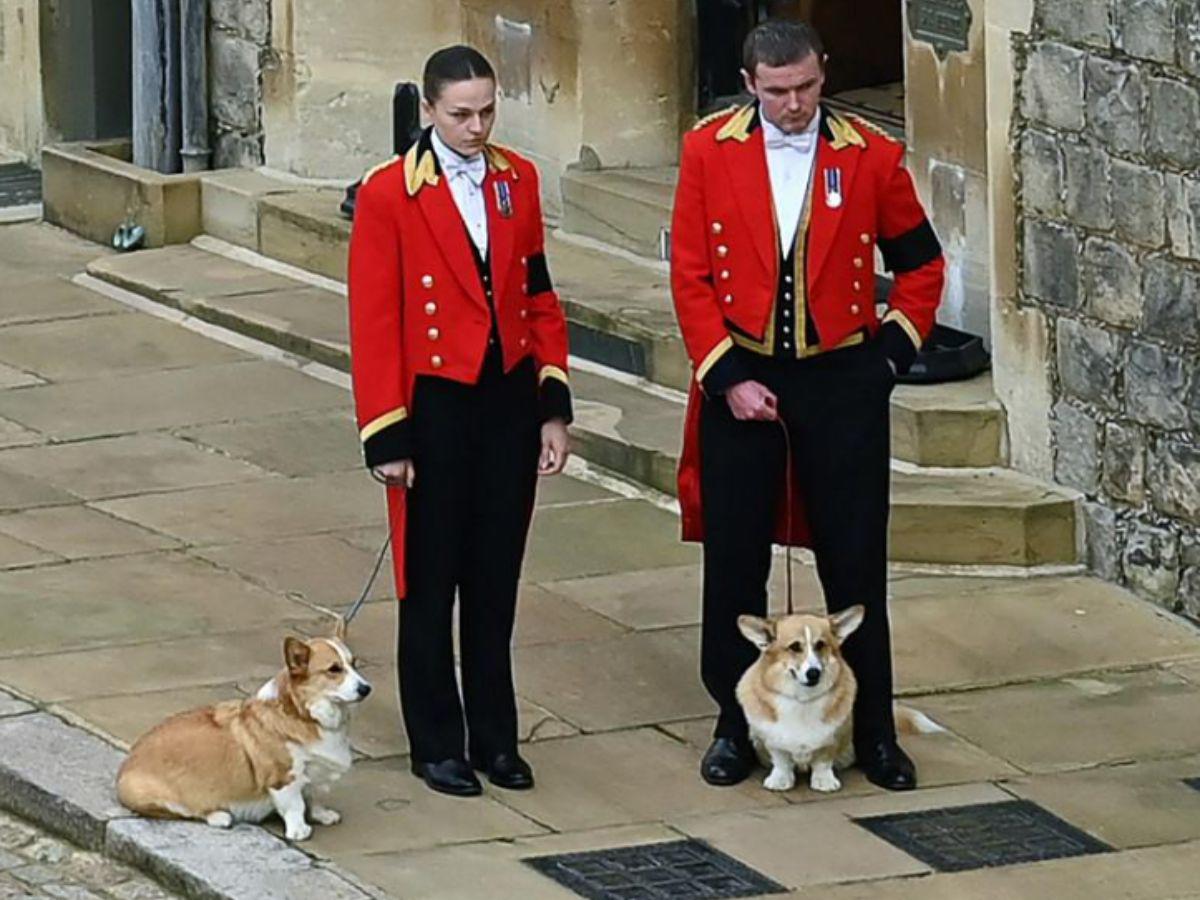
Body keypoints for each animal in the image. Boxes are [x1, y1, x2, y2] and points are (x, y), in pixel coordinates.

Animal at [118, 619, 369, 844]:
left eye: (354, 663)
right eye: (334, 669)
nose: (367, 689)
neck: (303, 713)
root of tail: (125, 766)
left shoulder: (313, 773)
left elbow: (313, 796)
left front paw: (322, 814)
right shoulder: (284, 777)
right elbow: (295, 804)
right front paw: (298, 830)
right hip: (157, 797)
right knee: (186, 812)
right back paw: (219, 816)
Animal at [734, 607, 940, 796]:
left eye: (820, 645)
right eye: (794, 647)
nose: (814, 673)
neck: (803, 699)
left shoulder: (832, 737)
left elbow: (823, 760)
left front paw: (824, 781)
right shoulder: (772, 739)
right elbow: (781, 759)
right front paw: (780, 780)